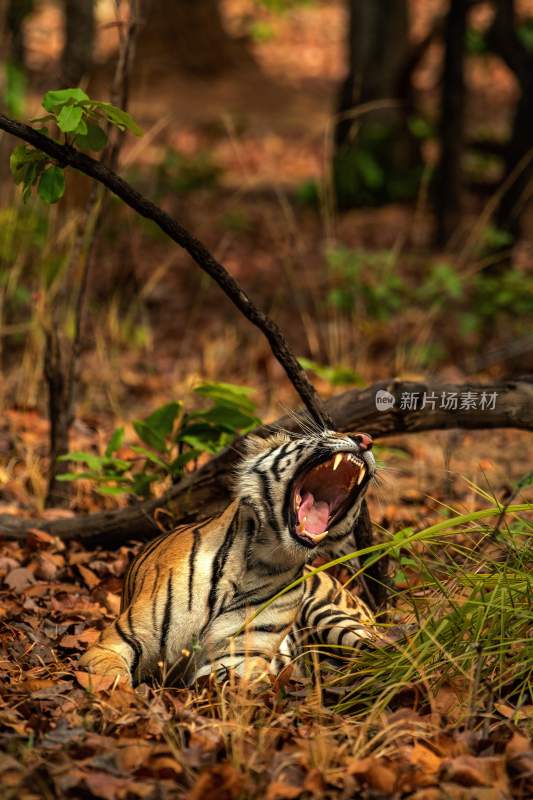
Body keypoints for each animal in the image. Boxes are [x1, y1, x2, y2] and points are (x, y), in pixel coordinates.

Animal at [78, 428, 382, 684]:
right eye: (326, 432)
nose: (366, 439)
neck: (262, 560)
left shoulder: (238, 659)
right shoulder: (116, 642)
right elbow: (114, 679)